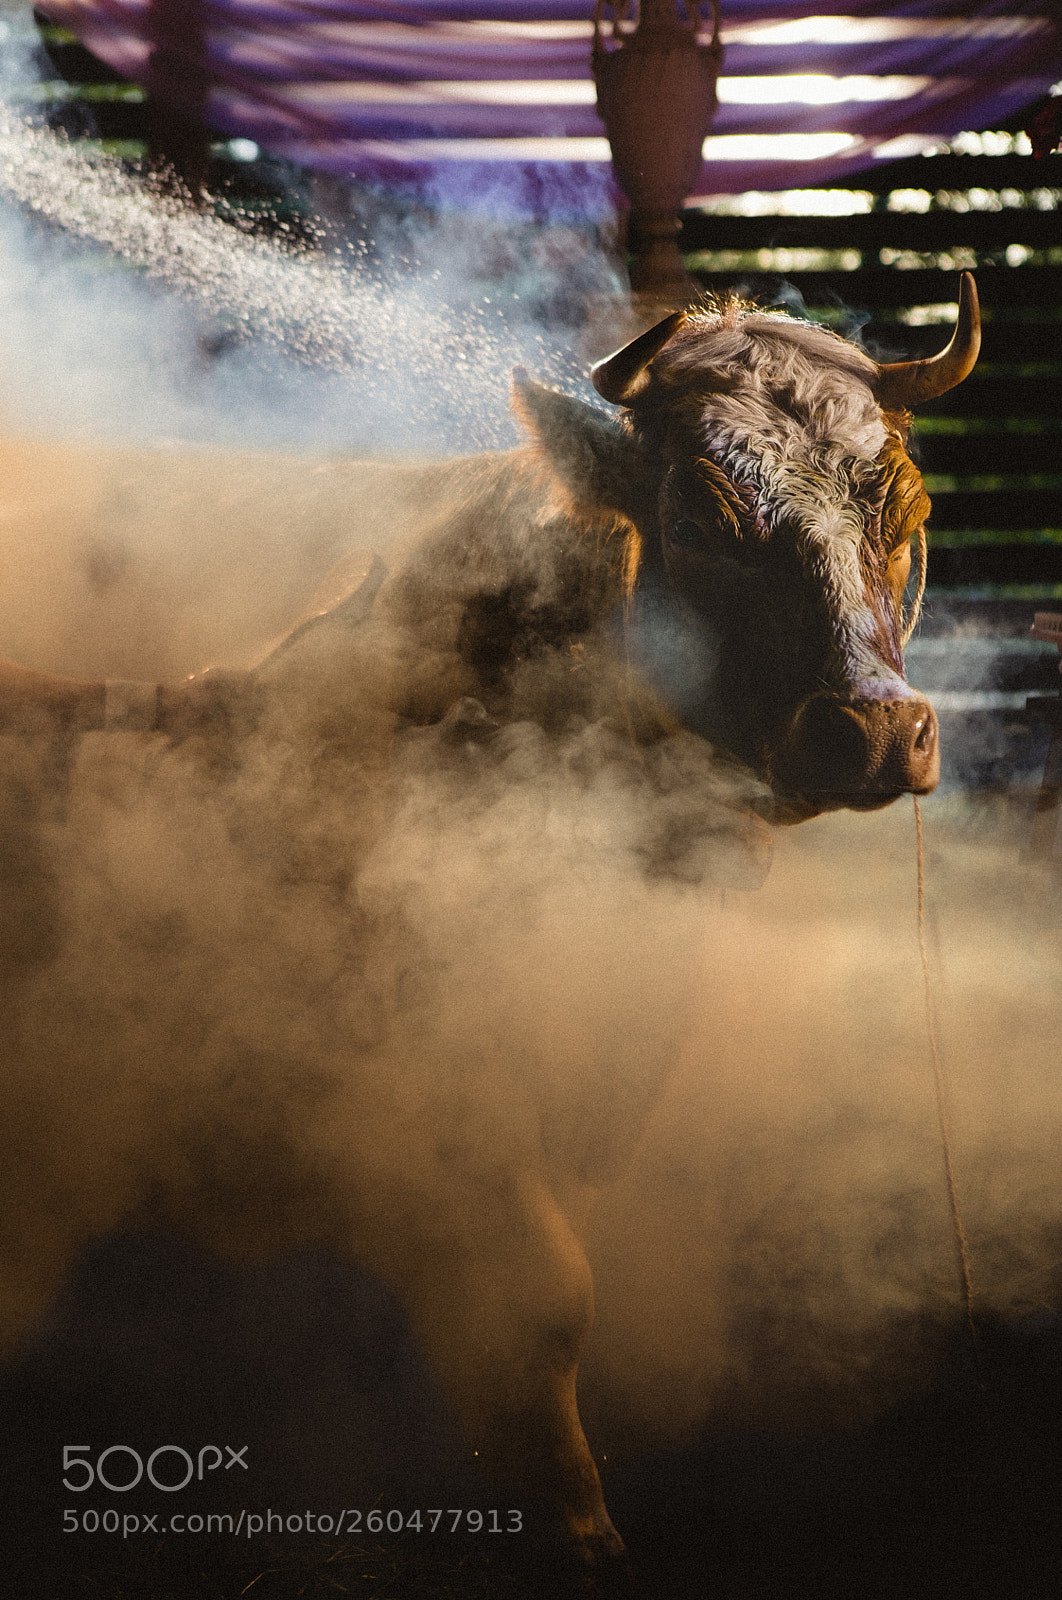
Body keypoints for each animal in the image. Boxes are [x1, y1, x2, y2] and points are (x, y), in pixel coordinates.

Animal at [0, 276, 980, 1590]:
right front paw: (575, 1523)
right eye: (699, 514)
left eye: (904, 510)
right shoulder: (410, 1100)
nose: (876, 731)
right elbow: (541, 1300)